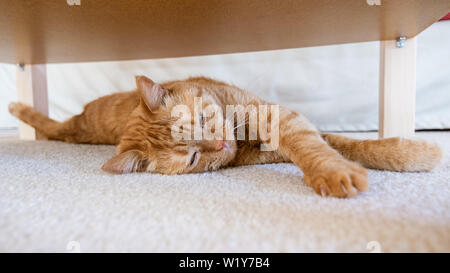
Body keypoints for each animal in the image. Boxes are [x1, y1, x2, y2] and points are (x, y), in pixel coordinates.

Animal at [7, 76, 442, 198]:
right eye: (192, 159)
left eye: (203, 118)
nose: (219, 145)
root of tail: (77, 121)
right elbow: (328, 148)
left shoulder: (282, 119)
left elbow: (349, 145)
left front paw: (414, 153)